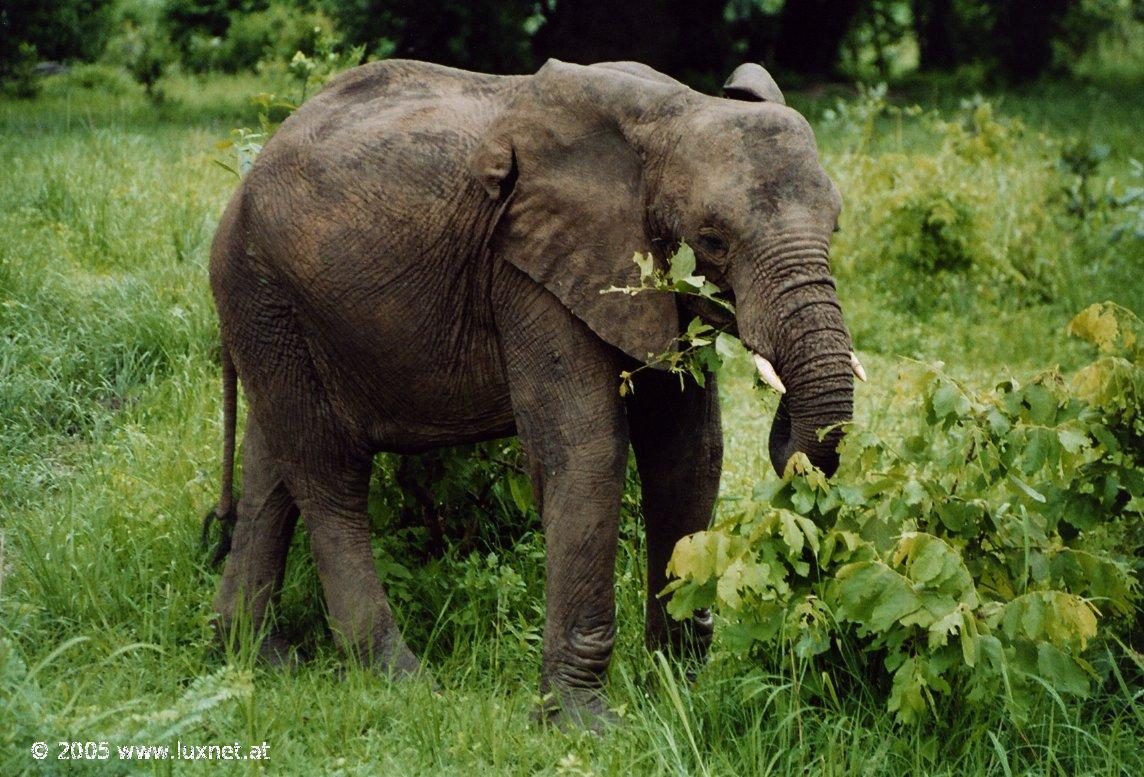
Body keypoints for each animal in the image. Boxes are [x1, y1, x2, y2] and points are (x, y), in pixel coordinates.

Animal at [208, 56, 860, 727]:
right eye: (712, 240)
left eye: (835, 226)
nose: (789, 444)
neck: (673, 112)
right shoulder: (528, 271)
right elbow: (587, 451)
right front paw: (584, 724)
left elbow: (689, 453)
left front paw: (677, 692)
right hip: (262, 289)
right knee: (327, 472)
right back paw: (402, 682)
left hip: (276, 312)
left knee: (273, 464)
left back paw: (258, 660)